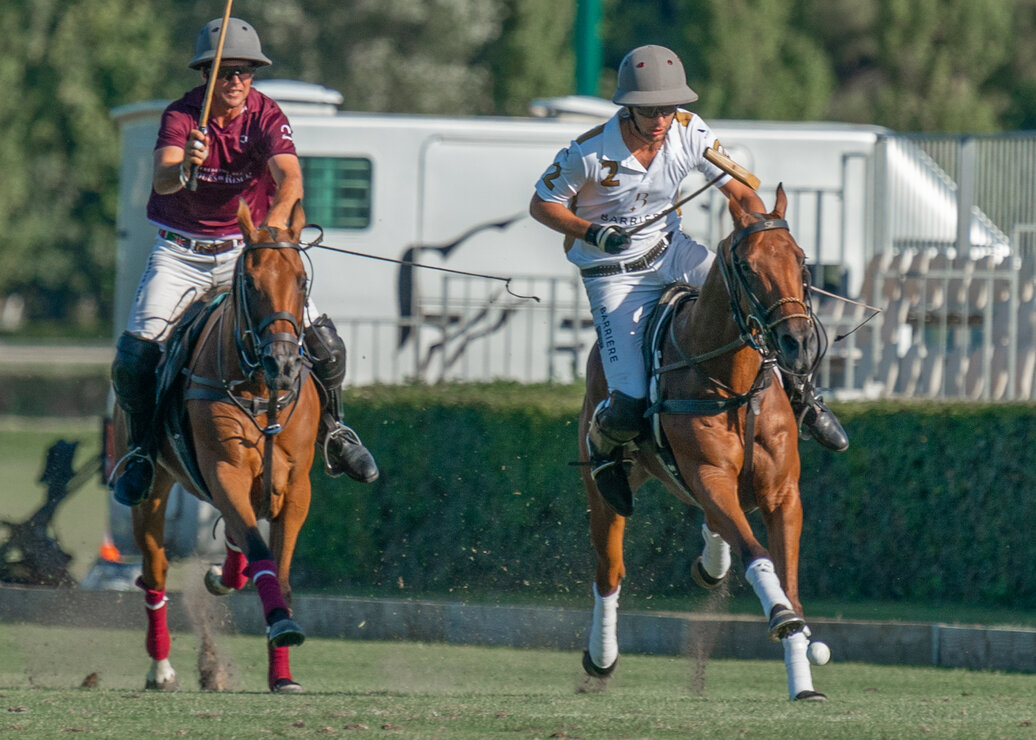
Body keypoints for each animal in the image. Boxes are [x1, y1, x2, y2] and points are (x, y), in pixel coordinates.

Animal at [115, 197, 317, 692]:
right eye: (251, 282)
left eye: (301, 280)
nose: (284, 364)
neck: (262, 389)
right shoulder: (225, 469)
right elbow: (262, 554)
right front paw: (282, 625)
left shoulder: (296, 484)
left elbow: (280, 569)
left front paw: (282, 673)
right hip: (153, 488)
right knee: (154, 572)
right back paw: (160, 669)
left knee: (234, 533)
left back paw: (223, 576)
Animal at [580, 184, 828, 696]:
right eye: (748, 267)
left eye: (800, 259)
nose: (798, 343)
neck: (735, 383)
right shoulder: (710, 474)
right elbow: (758, 555)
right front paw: (780, 617)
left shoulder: (782, 492)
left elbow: (789, 578)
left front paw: (803, 681)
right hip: (607, 486)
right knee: (609, 569)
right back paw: (601, 657)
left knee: (716, 526)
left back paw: (710, 563)